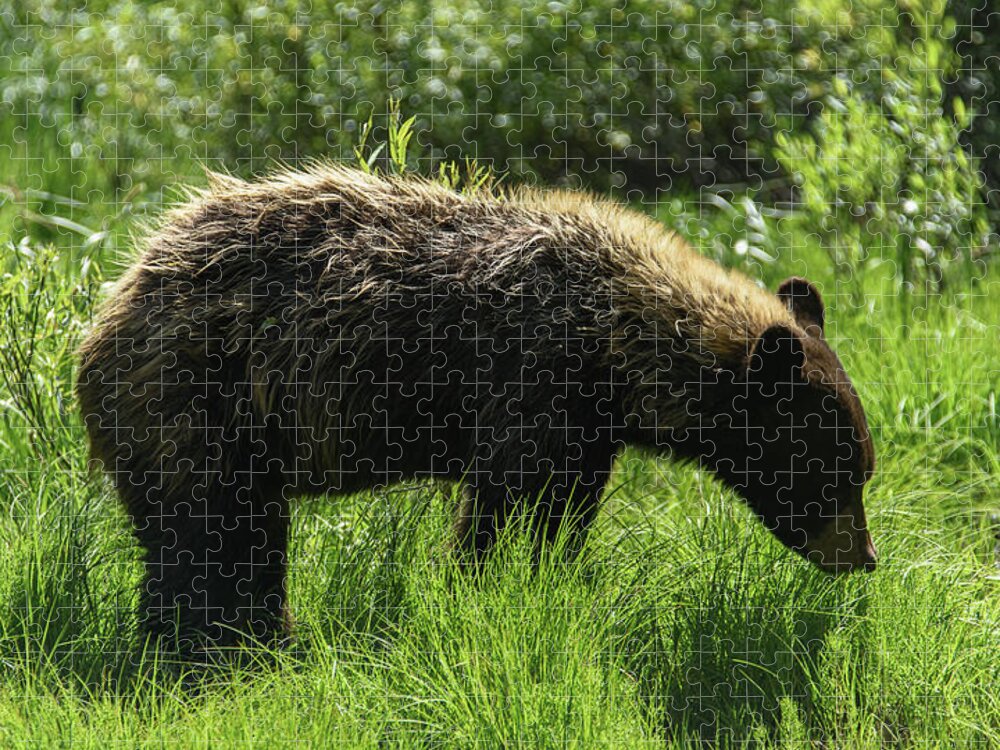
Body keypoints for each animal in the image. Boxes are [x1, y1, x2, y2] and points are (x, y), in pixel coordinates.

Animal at [77, 165, 877, 653]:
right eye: (840, 470)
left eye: (860, 465)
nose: (864, 557)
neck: (614, 353)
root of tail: (116, 294)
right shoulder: (529, 382)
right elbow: (500, 506)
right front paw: (480, 584)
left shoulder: (587, 431)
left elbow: (564, 513)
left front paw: (553, 580)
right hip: (200, 398)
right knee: (209, 532)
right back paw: (221, 644)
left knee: (229, 536)